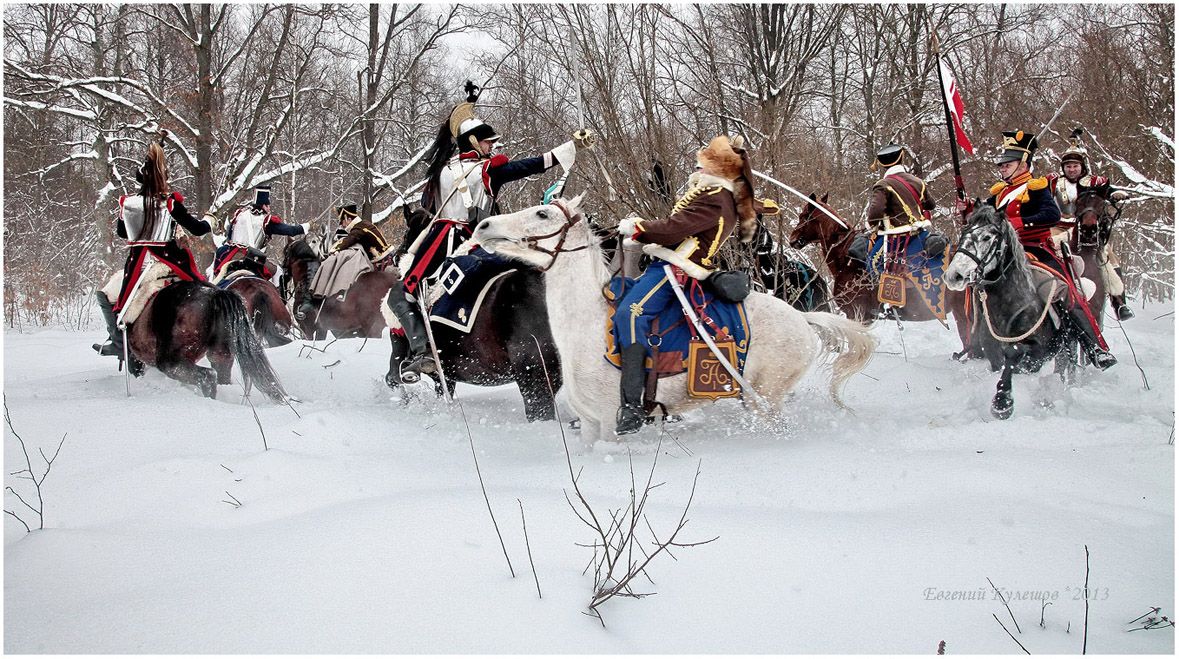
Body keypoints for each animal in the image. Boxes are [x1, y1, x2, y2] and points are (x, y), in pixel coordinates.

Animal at [469, 195, 877, 443]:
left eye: (542, 214)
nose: (484, 225)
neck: (587, 327)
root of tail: (804, 320)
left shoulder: (609, 425)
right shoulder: (589, 425)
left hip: (765, 399)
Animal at [943, 206, 1079, 417]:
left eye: (987, 237)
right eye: (964, 231)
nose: (953, 275)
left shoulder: (1038, 353)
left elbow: (1014, 355)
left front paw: (1002, 402)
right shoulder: (993, 357)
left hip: (1068, 344)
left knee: (1066, 368)